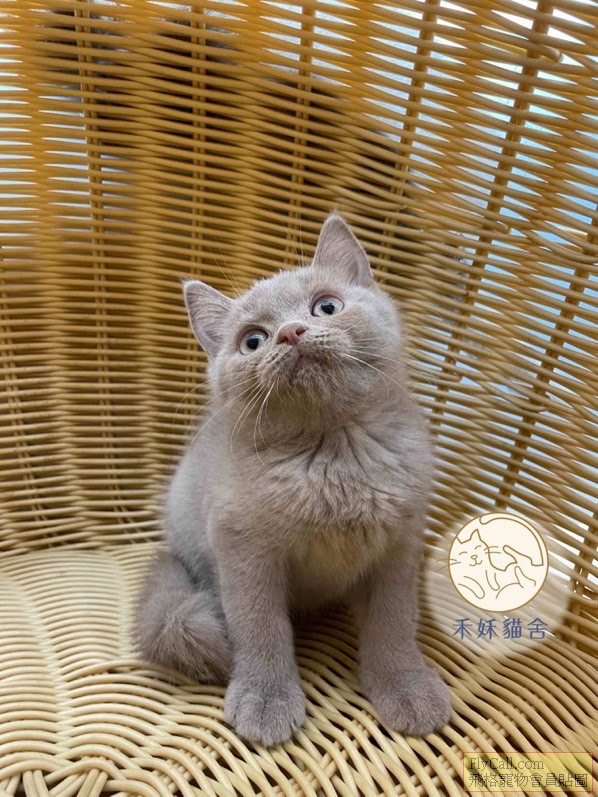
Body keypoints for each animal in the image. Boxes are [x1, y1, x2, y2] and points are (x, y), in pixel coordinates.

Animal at [134, 212, 451, 746]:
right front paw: (265, 698)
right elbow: (260, 626)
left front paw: (406, 688)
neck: (334, 454)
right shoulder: (242, 548)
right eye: (253, 341)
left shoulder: (399, 544)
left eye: (327, 306)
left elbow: (393, 622)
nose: (291, 332)